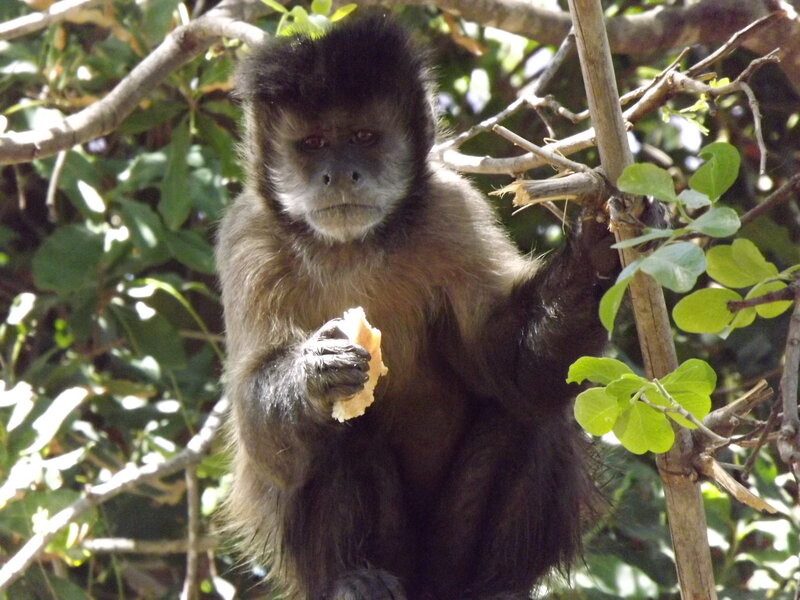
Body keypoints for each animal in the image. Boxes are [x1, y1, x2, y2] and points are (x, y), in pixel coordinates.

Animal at [216, 14, 619, 600]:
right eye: (313, 143)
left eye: (363, 137)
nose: (338, 174)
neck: (353, 248)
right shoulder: (247, 236)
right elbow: (261, 436)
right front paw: (314, 373)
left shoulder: (452, 213)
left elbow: (511, 364)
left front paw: (596, 253)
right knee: (339, 433)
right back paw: (354, 575)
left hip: (449, 551)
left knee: (528, 412)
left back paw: (494, 585)